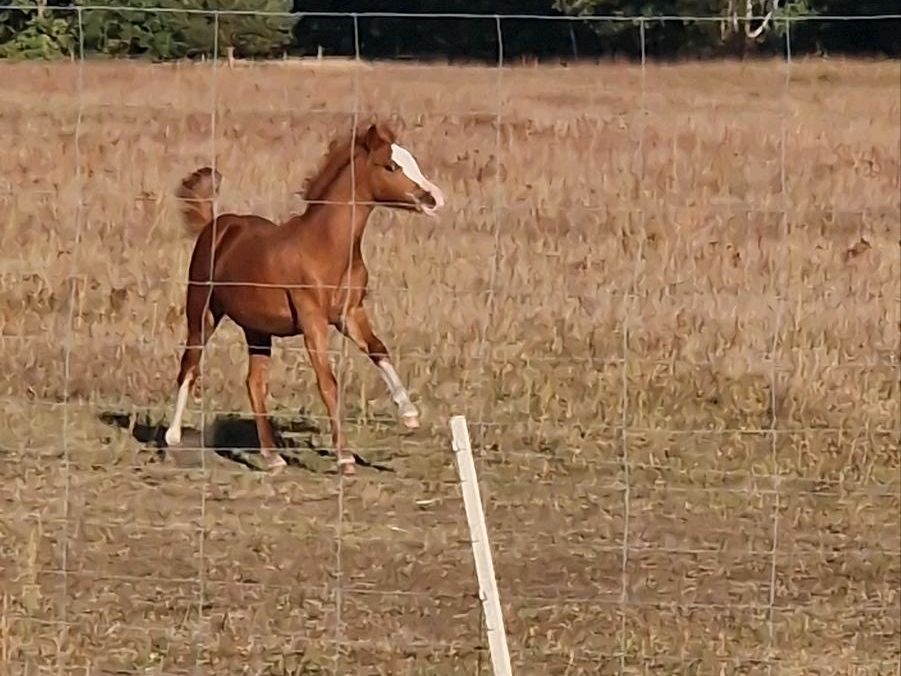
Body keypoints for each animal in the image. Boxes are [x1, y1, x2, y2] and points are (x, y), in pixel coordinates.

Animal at [163, 124, 444, 478]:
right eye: (391, 166)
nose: (434, 198)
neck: (325, 246)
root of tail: (214, 225)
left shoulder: (350, 314)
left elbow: (379, 349)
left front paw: (409, 414)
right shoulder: (313, 321)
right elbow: (328, 383)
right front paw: (345, 458)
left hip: (257, 330)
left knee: (254, 383)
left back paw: (272, 457)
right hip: (202, 311)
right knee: (189, 365)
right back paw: (172, 438)